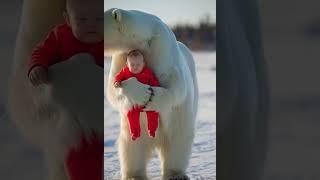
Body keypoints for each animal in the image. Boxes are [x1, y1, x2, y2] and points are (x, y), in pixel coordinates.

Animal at [105, 8, 198, 180]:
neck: (144, 39)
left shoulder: (163, 48)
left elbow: (176, 87)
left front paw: (150, 97)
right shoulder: (121, 55)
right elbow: (112, 87)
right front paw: (139, 93)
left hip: (178, 121)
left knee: (177, 142)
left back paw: (175, 174)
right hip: (131, 130)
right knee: (131, 147)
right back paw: (133, 175)